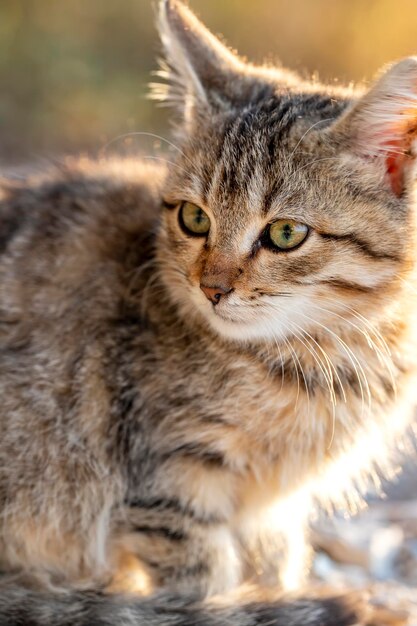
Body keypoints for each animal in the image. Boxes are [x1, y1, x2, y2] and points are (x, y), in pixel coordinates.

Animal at [0, 1, 416, 624]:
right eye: (194, 219)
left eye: (285, 234)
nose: (211, 287)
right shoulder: (169, 482)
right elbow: (203, 584)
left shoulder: (272, 512)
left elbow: (274, 565)